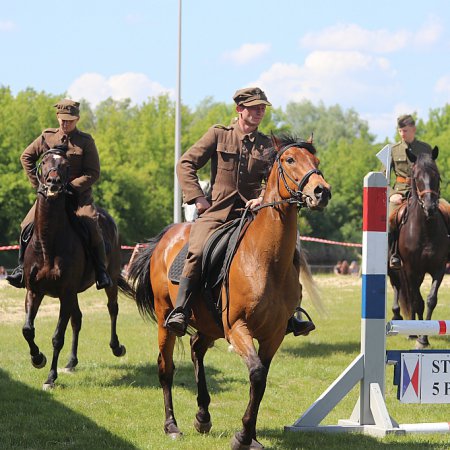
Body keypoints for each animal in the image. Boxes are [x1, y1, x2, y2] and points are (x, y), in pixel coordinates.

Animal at [20, 147, 133, 386]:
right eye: (44, 162)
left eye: (65, 165)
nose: (53, 183)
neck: (48, 242)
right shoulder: (34, 291)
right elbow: (27, 329)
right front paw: (38, 358)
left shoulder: (66, 293)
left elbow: (57, 337)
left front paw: (50, 377)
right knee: (77, 319)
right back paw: (71, 362)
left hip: (108, 280)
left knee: (112, 308)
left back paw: (116, 347)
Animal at [126, 135, 330, 448]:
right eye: (290, 160)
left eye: (316, 162)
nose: (322, 191)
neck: (264, 259)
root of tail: (166, 236)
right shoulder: (237, 328)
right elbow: (256, 374)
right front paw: (243, 435)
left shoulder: (273, 334)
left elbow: (261, 380)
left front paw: (250, 435)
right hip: (165, 320)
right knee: (165, 368)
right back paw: (172, 425)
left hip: (209, 324)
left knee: (197, 349)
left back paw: (203, 415)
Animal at [388, 147, 448, 348]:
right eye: (416, 177)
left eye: (436, 175)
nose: (430, 207)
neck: (426, 229)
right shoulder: (411, 269)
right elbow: (416, 301)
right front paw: (419, 337)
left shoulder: (438, 268)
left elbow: (430, 300)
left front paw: (424, 337)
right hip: (396, 270)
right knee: (399, 288)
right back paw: (401, 320)